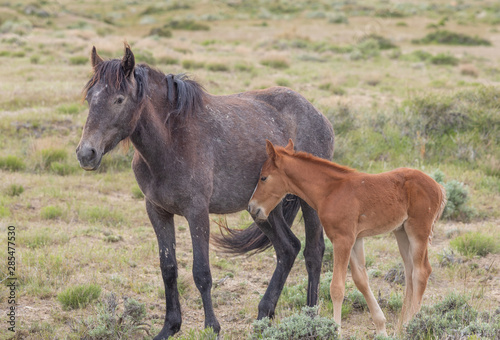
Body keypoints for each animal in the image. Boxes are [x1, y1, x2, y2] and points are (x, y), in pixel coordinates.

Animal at [248, 139, 448, 336]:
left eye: (263, 177)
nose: (252, 207)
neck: (330, 190)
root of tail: (438, 187)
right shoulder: (354, 239)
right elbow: (361, 280)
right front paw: (381, 327)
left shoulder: (342, 239)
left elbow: (337, 287)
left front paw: (336, 330)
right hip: (401, 232)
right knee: (410, 273)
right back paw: (400, 328)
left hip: (418, 230)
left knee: (421, 272)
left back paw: (411, 327)